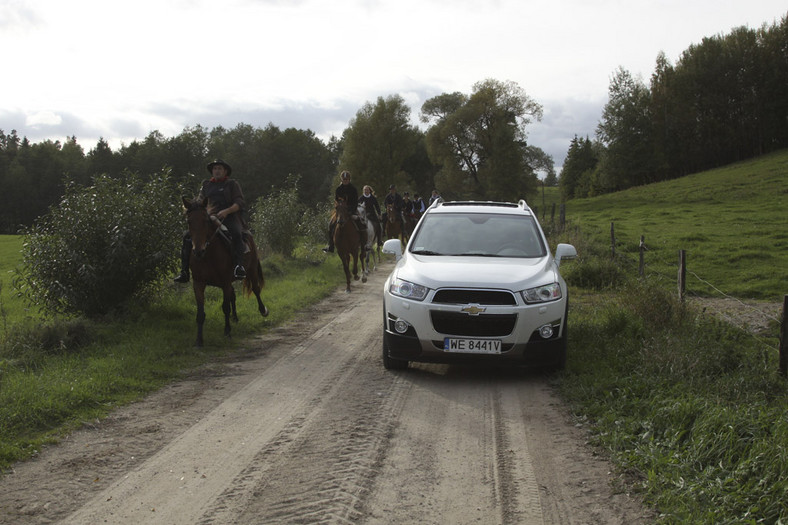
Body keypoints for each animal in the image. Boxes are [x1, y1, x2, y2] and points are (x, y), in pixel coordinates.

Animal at [183, 194, 270, 346]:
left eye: (206, 220)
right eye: (189, 221)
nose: (198, 251)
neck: (208, 255)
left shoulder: (225, 282)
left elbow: (225, 307)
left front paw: (227, 332)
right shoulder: (199, 283)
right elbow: (200, 313)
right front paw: (199, 340)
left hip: (252, 269)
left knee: (255, 289)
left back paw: (262, 310)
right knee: (233, 295)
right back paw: (235, 318)